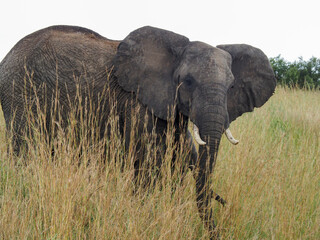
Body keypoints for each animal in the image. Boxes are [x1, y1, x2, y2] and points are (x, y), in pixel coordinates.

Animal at [0, 25, 276, 236]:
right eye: (187, 82)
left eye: (231, 87)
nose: (225, 207)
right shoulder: (138, 104)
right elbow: (148, 166)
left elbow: (173, 167)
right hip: (19, 93)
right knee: (26, 153)